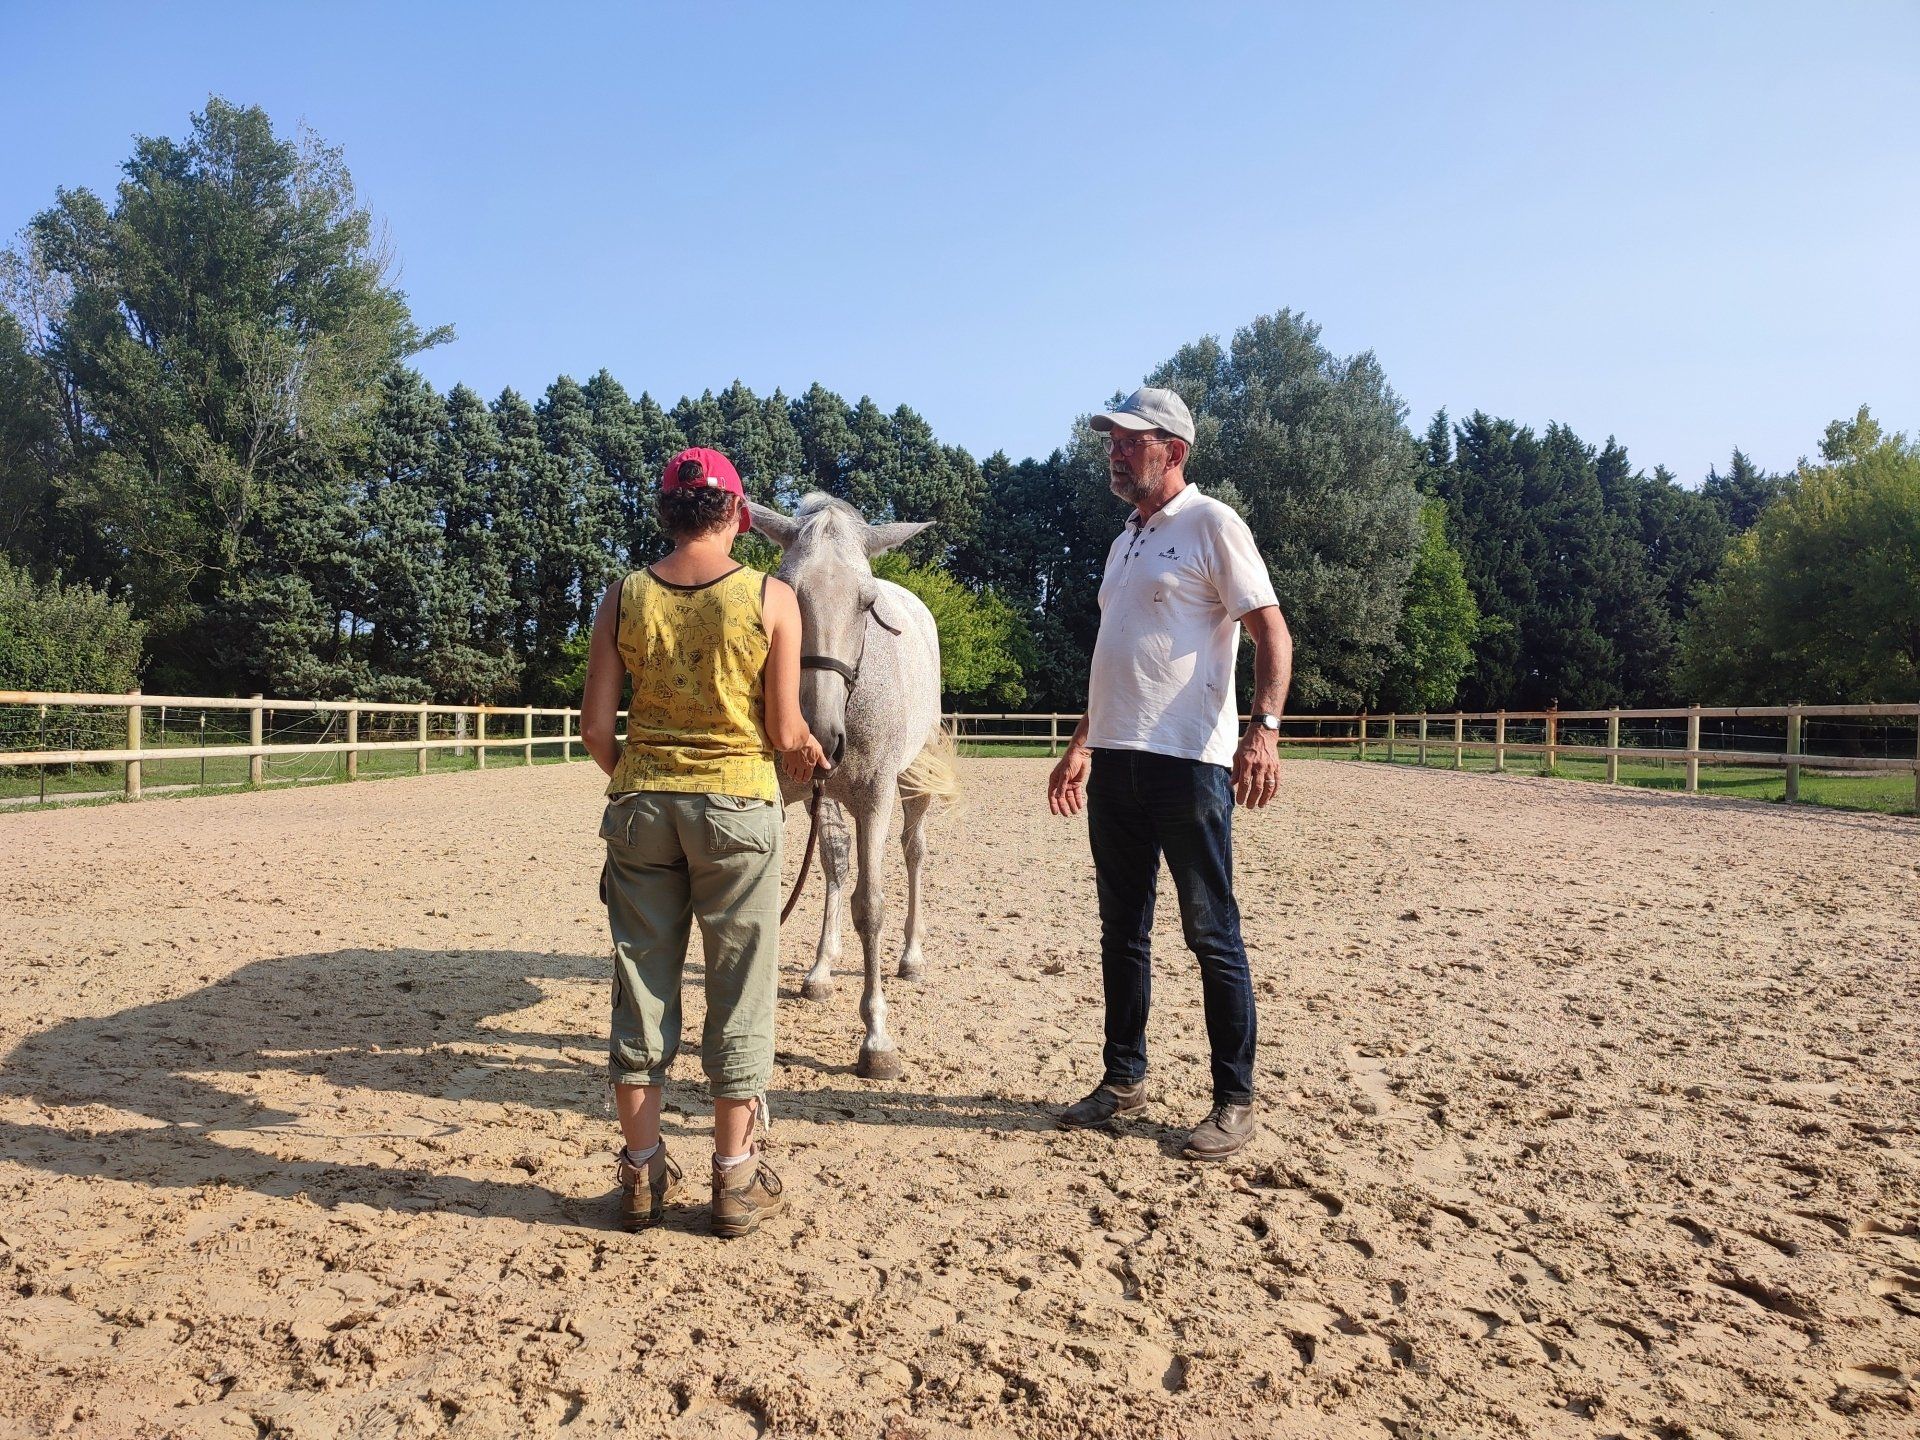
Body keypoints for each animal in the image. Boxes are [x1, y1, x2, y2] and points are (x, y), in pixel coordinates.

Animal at [747, 494, 959, 1081]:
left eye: (867, 603)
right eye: (786, 591)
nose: (818, 735)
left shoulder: (876, 800)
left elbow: (871, 906)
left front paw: (876, 1038)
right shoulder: (784, 798)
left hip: (911, 786)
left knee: (914, 852)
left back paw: (911, 958)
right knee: (835, 863)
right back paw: (822, 969)